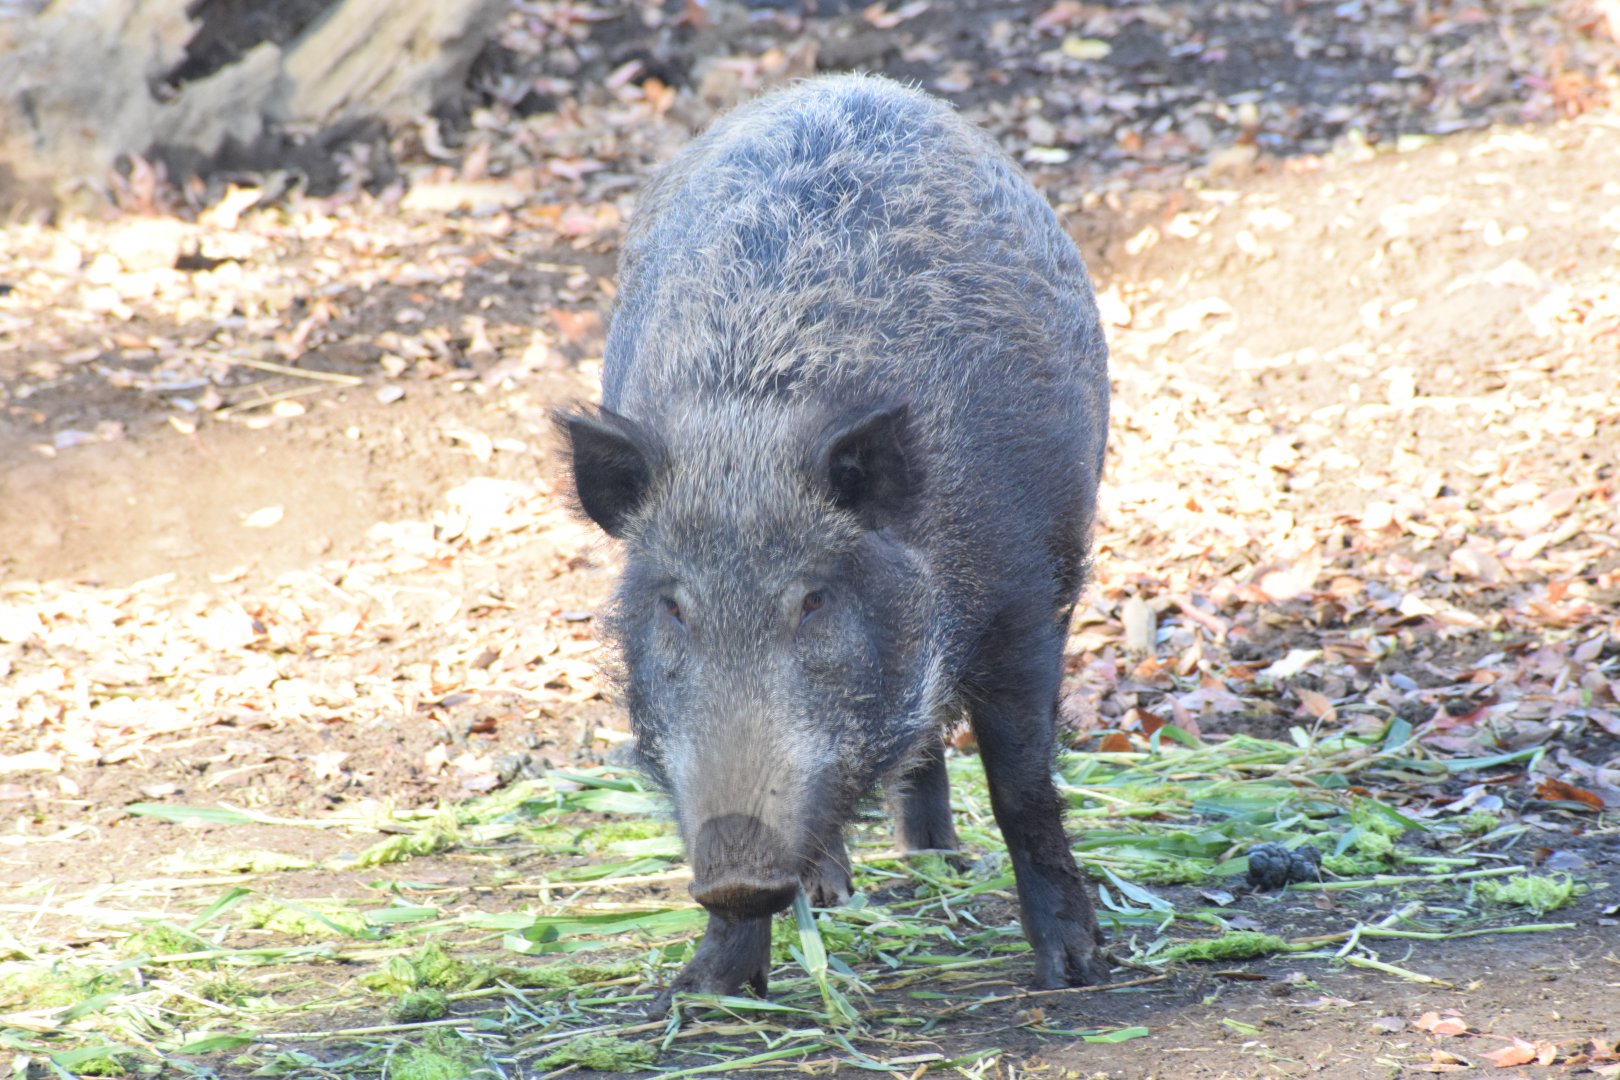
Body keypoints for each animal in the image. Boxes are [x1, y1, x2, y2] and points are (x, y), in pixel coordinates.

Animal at [556, 73, 1111, 1008]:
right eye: (673, 607)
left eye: (814, 598)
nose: (735, 869)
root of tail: (849, 83)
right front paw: (700, 996)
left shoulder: (1027, 599)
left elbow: (1023, 784)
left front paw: (1077, 972)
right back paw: (843, 888)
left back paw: (939, 865)